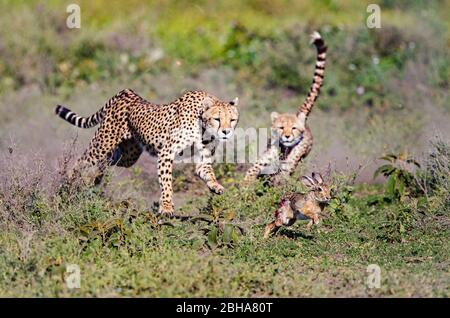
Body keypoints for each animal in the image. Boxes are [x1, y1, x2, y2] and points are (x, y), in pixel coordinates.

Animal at [54, 88, 239, 215]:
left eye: (232, 120)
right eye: (217, 119)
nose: (226, 132)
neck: (202, 124)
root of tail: (126, 92)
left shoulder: (203, 157)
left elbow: (208, 172)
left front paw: (215, 186)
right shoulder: (166, 153)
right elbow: (166, 182)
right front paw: (166, 206)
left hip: (129, 156)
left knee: (107, 160)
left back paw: (96, 180)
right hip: (102, 143)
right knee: (82, 162)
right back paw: (66, 187)